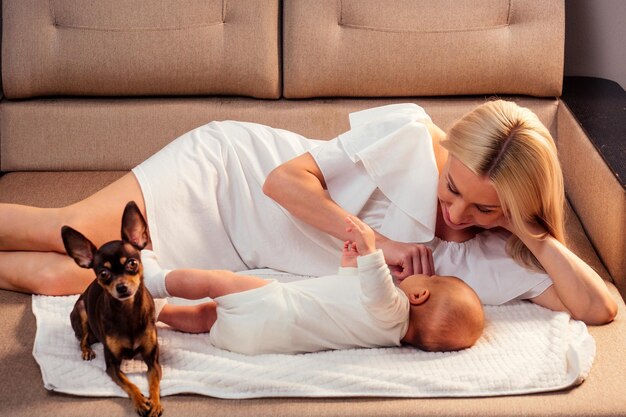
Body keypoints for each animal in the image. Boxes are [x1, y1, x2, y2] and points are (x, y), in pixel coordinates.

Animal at [61, 200, 161, 414]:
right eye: (104, 273)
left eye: (132, 263)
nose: (121, 287)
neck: (128, 312)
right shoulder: (112, 365)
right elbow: (129, 384)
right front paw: (140, 401)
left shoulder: (153, 360)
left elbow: (154, 382)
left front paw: (156, 403)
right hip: (81, 310)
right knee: (81, 339)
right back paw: (86, 350)